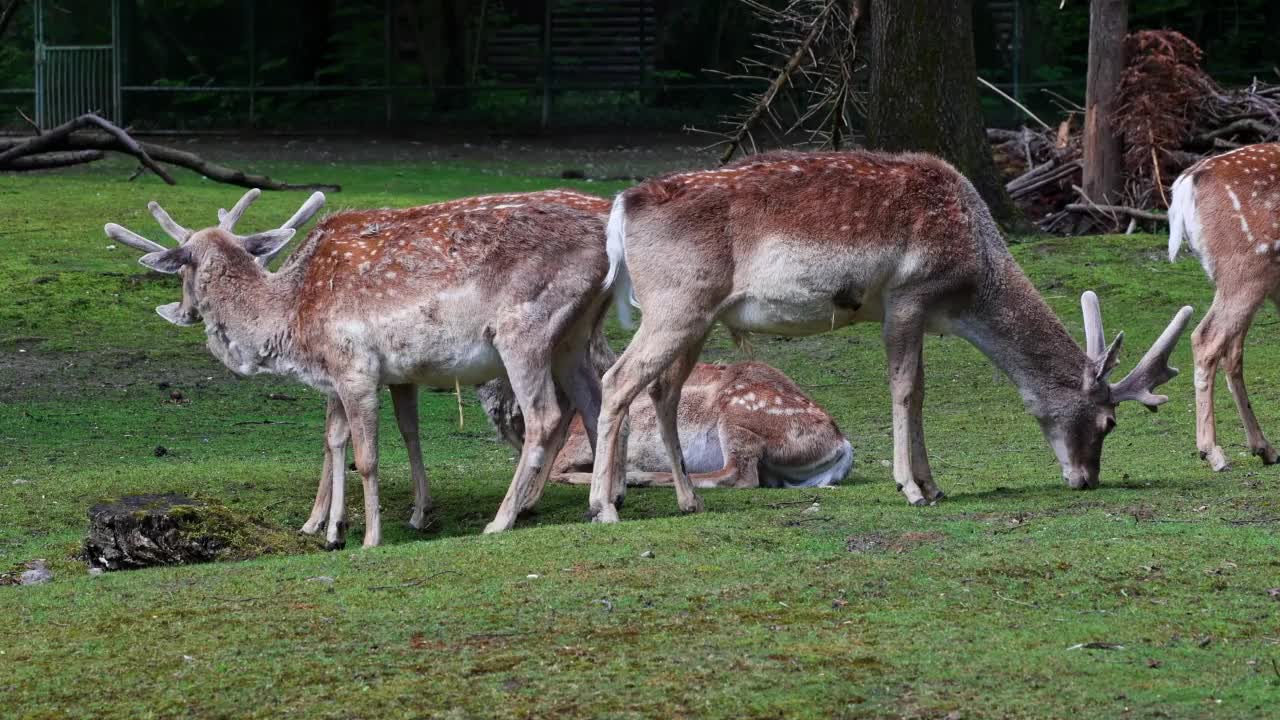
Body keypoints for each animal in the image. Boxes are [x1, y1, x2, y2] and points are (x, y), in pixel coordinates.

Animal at [102, 188, 611, 545]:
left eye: (182, 268)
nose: (182, 311)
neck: (290, 320)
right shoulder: (372, 374)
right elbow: (352, 438)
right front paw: (336, 528)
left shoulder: (354, 367)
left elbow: (365, 457)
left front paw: (367, 535)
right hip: (573, 335)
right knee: (598, 400)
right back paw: (603, 506)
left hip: (524, 329)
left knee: (545, 415)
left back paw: (503, 518)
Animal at [476, 335, 855, 486]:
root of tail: (842, 444)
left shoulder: (578, 443)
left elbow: (556, 471)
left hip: (740, 415)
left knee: (737, 475)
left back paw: (642, 476)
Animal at [586, 149, 1192, 520]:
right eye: (1108, 423)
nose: (1086, 479)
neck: (970, 282)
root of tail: (620, 208)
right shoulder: (907, 293)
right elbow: (903, 389)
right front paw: (911, 489)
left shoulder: (916, 311)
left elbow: (919, 392)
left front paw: (934, 484)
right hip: (674, 305)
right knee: (616, 380)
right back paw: (606, 505)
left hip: (696, 315)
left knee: (662, 390)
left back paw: (688, 501)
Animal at [1172, 143, 1280, 474]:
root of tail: (1186, 183)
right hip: (1246, 270)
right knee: (1206, 338)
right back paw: (1213, 452)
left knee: (1231, 350)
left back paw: (1264, 447)